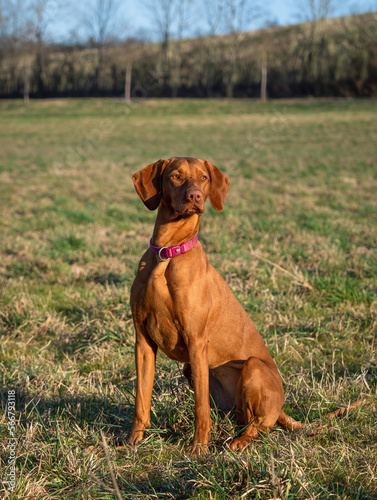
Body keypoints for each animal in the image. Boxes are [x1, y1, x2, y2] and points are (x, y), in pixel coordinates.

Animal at [129, 156, 362, 454]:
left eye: (203, 178)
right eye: (176, 176)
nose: (195, 196)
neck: (166, 254)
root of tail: (280, 407)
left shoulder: (196, 341)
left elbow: (200, 408)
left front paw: (198, 448)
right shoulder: (143, 341)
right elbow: (141, 400)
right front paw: (132, 442)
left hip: (252, 368)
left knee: (260, 425)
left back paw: (238, 441)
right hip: (195, 372)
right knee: (243, 418)